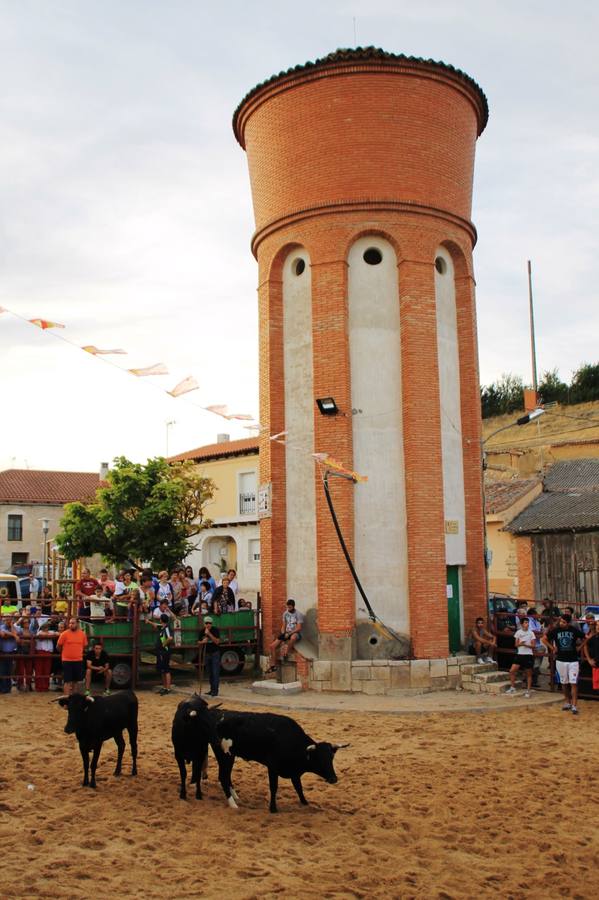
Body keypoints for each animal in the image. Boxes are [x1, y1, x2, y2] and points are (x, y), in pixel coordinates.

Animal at [216, 712, 350, 812]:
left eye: (331, 758)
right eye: (318, 758)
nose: (333, 779)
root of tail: (221, 720)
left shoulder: (295, 772)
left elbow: (299, 787)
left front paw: (305, 803)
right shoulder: (272, 767)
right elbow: (274, 787)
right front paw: (273, 808)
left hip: (230, 756)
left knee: (227, 776)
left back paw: (235, 797)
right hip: (224, 755)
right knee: (223, 777)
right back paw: (233, 804)